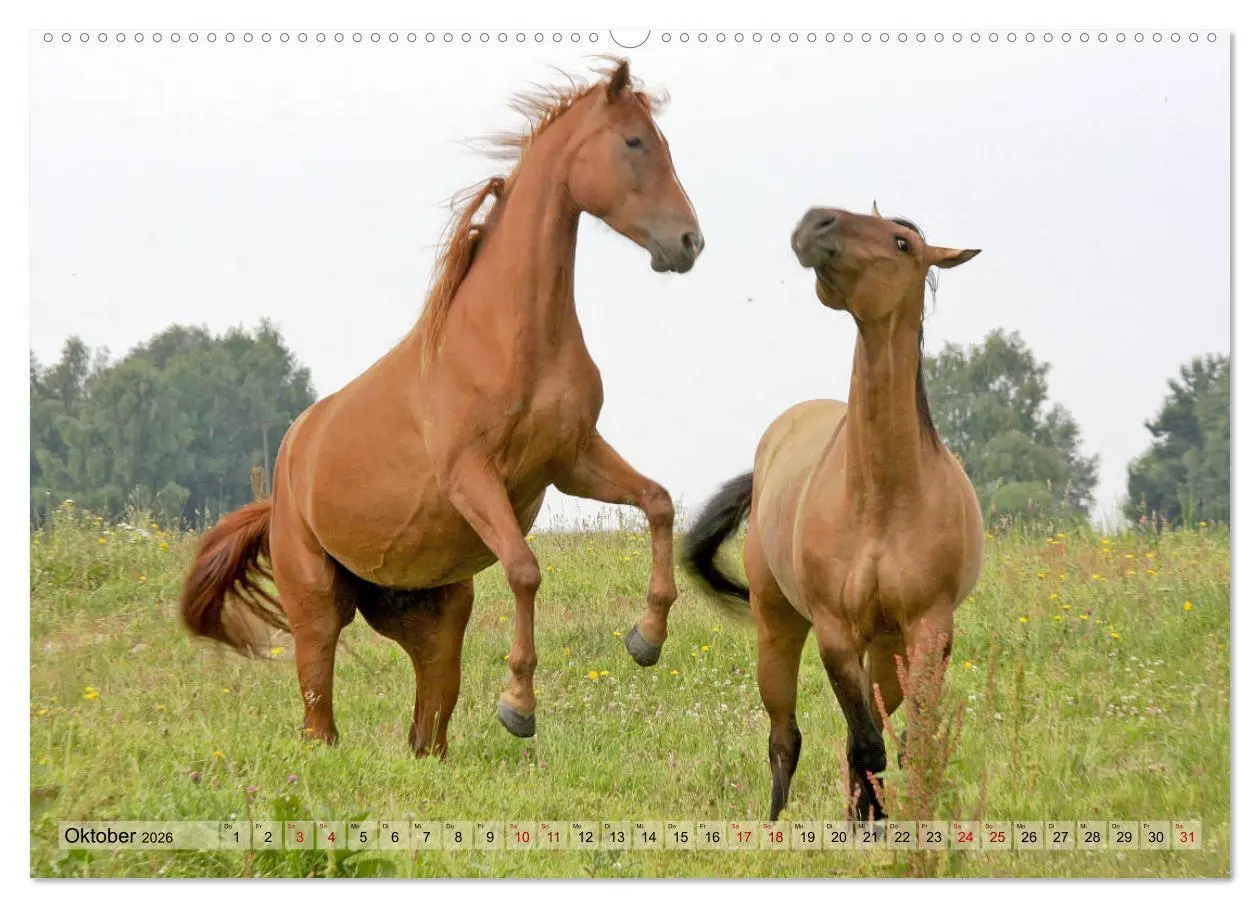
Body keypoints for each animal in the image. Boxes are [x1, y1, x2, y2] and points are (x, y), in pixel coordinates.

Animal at [179, 58, 704, 758]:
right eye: (635, 142)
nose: (689, 242)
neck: (509, 339)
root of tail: (286, 471)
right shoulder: (473, 477)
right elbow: (525, 569)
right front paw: (518, 704)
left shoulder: (572, 460)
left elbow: (658, 502)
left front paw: (646, 637)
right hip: (315, 601)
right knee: (319, 705)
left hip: (431, 614)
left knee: (427, 722)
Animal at [683, 204, 982, 821]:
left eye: (901, 243)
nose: (816, 221)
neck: (882, 497)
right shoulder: (835, 632)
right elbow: (866, 747)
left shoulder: (927, 631)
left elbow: (908, 743)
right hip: (778, 627)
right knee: (785, 737)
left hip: (886, 647)